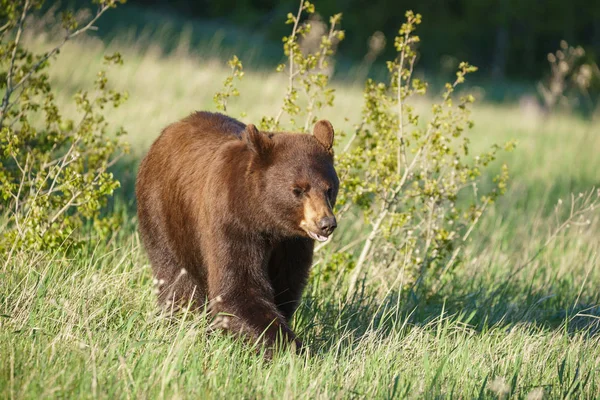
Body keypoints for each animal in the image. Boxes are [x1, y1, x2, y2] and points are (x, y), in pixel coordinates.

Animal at [137, 111, 340, 352]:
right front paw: (290, 347)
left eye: (329, 188)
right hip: (164, 214)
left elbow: (285, 286)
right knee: (176, 277)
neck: (266, 220)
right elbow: (238, 288)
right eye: (298, 190)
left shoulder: (293, 244)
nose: (326, 223)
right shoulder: (232, 224)